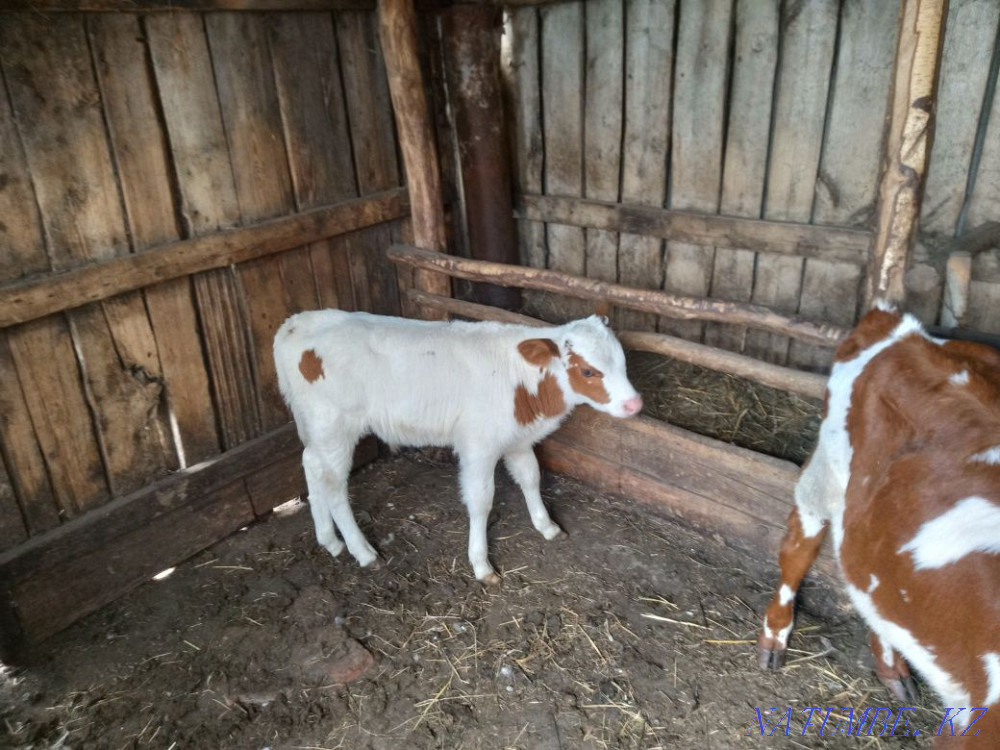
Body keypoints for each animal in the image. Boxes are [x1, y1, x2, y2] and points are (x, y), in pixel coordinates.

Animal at [274, 310, 642, 584]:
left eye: (623, 363)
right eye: (588, 371)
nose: (635, 404)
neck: (521, 382)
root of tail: (295, 324)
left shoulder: (518, 438)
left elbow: (531, 477)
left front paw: (546, 525)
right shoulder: (478, 444)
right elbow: (481, 501)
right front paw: (481, 564)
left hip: (318, 426)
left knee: (311, 464)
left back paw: (330, 540)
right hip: (336, 426)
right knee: (334, 485)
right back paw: (362, 551)